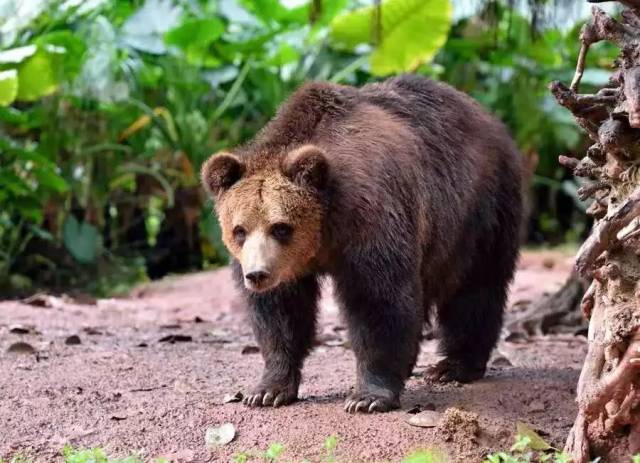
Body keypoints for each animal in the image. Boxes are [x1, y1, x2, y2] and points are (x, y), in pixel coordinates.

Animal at [202, 74, 524, 416]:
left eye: (281, 227)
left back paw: (453, 366)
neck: (325, 231)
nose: (257, 274)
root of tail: (486, 115)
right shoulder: (285, 267)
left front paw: (368, 396)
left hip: (476, 210)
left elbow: (377, 300)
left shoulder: (370, 217)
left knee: (473, 286)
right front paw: (267, 390)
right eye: (239, 230)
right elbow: (281, 312)